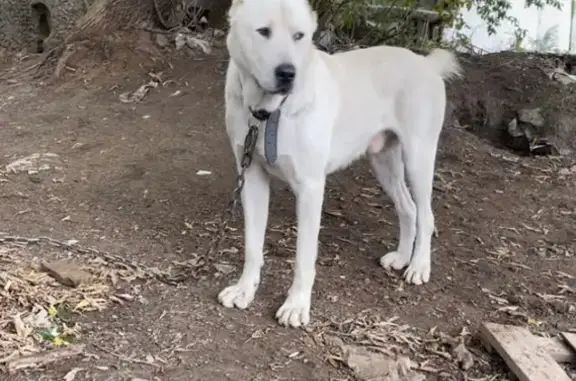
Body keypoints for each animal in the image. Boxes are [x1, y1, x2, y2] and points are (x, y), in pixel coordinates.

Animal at [217, 0, 464, 326]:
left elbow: (303, 257)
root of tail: (425, 64)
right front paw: (245, 289)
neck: (269, 113)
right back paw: (401, 257)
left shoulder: (310, 189)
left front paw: (297, 305)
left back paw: (419, 266)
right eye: (263, 31)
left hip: (418, 159)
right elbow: (252, 247)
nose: (288, 73)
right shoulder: (252, 179)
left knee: (426, 214)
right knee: (408, 208)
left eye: (300, 36)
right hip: (383, 162)